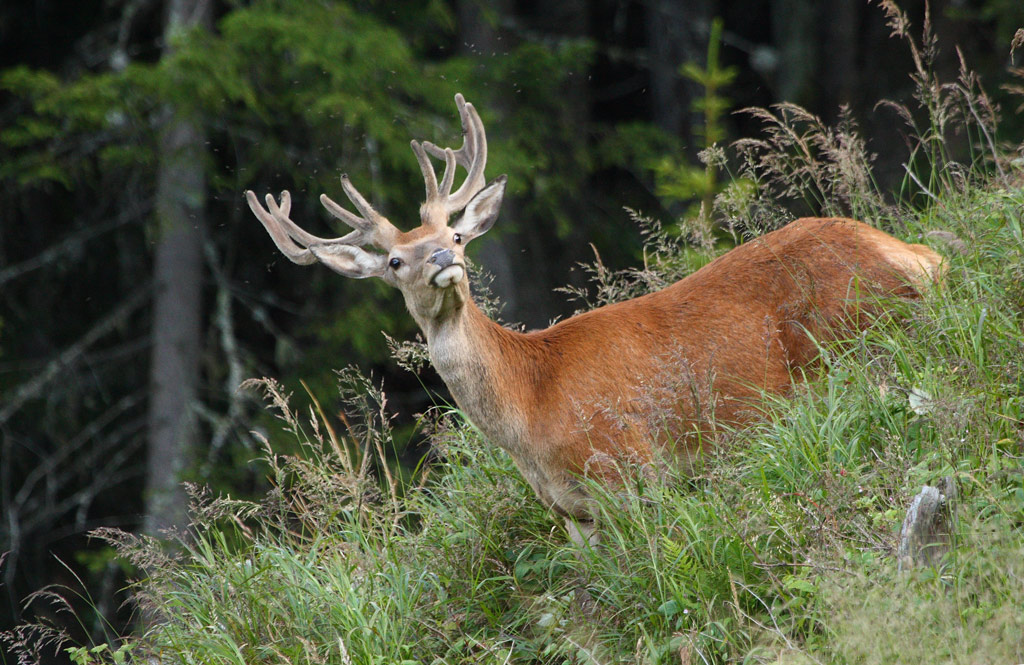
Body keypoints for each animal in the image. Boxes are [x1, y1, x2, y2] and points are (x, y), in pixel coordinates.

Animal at [246, 93, 943, 545]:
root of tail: (913, 254)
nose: (444, 258)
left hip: (858, 337)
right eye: (395, 260)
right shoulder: (571, 513)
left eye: (456, 234)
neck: (531, 406)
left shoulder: (631, 466)